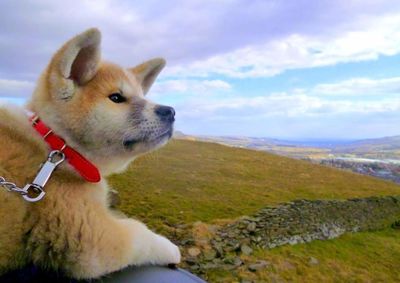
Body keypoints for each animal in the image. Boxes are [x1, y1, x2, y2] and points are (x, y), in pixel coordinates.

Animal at [0, 28, 181, 280]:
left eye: (142, 95)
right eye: (116, 98)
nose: (171, 111)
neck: (61, 148)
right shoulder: (90, 237)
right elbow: (138, 232)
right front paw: (170, 248)